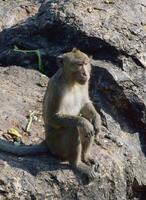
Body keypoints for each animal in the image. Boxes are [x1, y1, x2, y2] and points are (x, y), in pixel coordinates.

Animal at [0, 48, 101, 180]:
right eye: (79, 65)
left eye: (86, 64)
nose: (85, 74)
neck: (72, 82)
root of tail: (47, 142)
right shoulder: (56, 88)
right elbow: (52, 117)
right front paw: (85, 123)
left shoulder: (85, 84)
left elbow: (85, 105)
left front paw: (97, 120)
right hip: (56, 144)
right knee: (72, 129)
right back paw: (77, 164)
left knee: (85, 127)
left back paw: (86, 156)